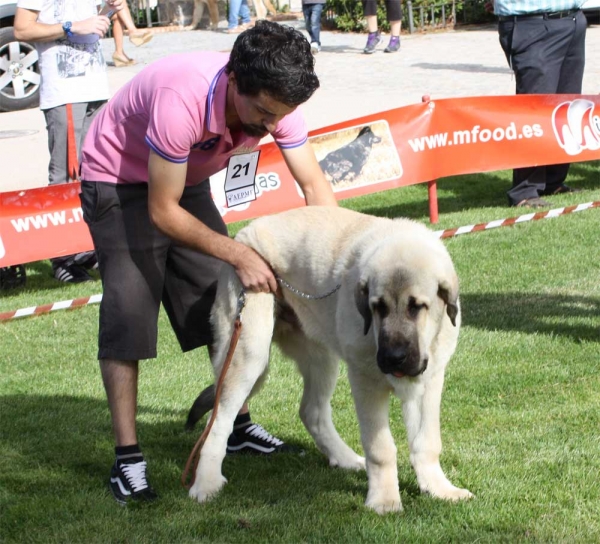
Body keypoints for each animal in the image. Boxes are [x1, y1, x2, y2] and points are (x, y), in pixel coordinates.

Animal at [189, 206, 474, 512]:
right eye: (378, 307)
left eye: (417, 307)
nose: (394, 357)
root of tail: (241, 236)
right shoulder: (365, 380)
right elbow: (381, 448)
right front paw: (384, 500)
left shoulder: (429, 381)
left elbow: (427, 441)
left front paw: (438, 488)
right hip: (248, 351)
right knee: (218, 420)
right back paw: (205, 483)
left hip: (320, 358)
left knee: (311, 411)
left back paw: (345, 458)